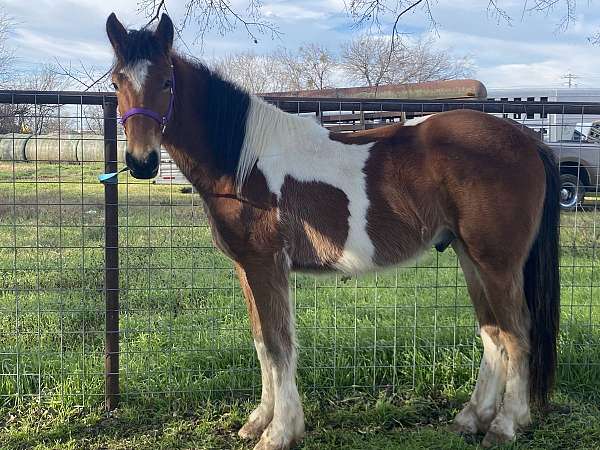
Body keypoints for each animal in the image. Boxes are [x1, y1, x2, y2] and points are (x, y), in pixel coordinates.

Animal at [105, 13, 560, 450]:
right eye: (116, 82)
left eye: (166, 81)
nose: (142, 162)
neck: (243, 160)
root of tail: (526, 139)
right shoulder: (246, 268)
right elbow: (261, 342)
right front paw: (257, 423)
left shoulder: (265, 264)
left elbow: (278, 345)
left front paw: (279, 433)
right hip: (470, 257)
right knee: (493, 333)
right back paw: (470, 419)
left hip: (497, 262)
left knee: (517, 334)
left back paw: (505, 425)